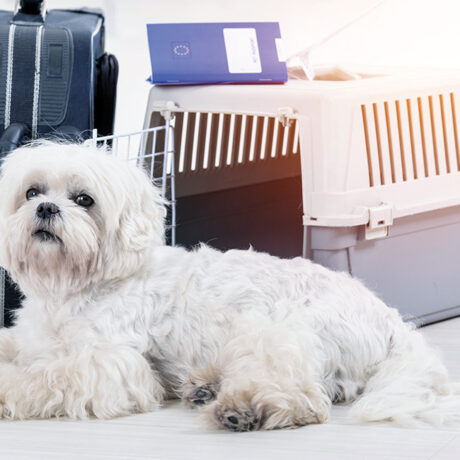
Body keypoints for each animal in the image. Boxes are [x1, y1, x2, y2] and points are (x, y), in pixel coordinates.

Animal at [0, 142, 460, 430]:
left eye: (84, 200)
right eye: (31, 192)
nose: (46, 208)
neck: (75, 288)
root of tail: (392, 320)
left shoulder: (111, 365)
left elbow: (44, 377)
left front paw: (8, 390)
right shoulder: (31, 339)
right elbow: (17, 349)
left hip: (272, 330)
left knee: (306, 399)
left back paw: (245, 409)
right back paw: (206, 388)